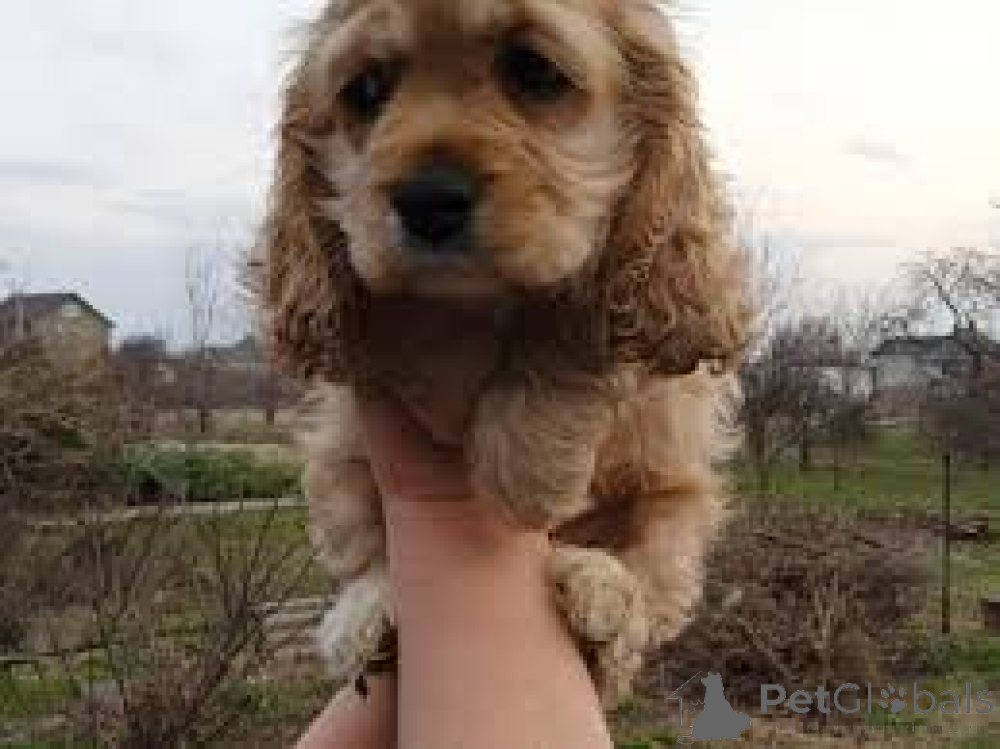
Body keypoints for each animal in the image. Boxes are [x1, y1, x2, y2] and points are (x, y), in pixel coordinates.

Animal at [253, 0, 748, 702]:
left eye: (534, 71)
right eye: (366, 91)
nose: (428, 201)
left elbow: (567, 322)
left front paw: (526, 474)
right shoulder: (340, 440)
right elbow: (363, 533)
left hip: (680, 494)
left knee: (649, 577)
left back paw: (600, 595)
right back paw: (368, 620)